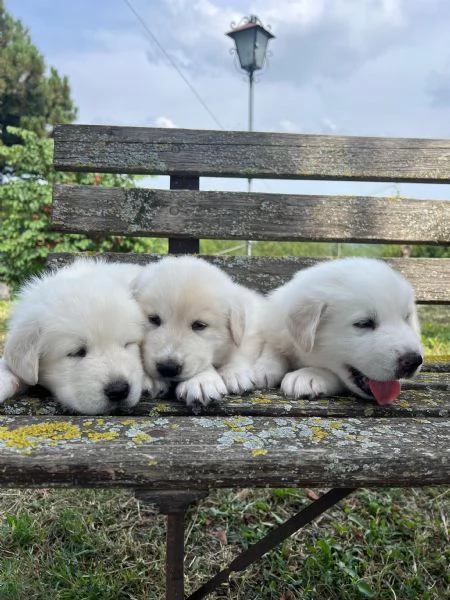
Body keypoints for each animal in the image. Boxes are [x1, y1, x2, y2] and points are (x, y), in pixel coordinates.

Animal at [131, 254, 270, 408]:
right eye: (154, 319)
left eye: (200, 325)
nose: (168, 367)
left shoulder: (253, 327)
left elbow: (240, 349)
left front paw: (233, 373)